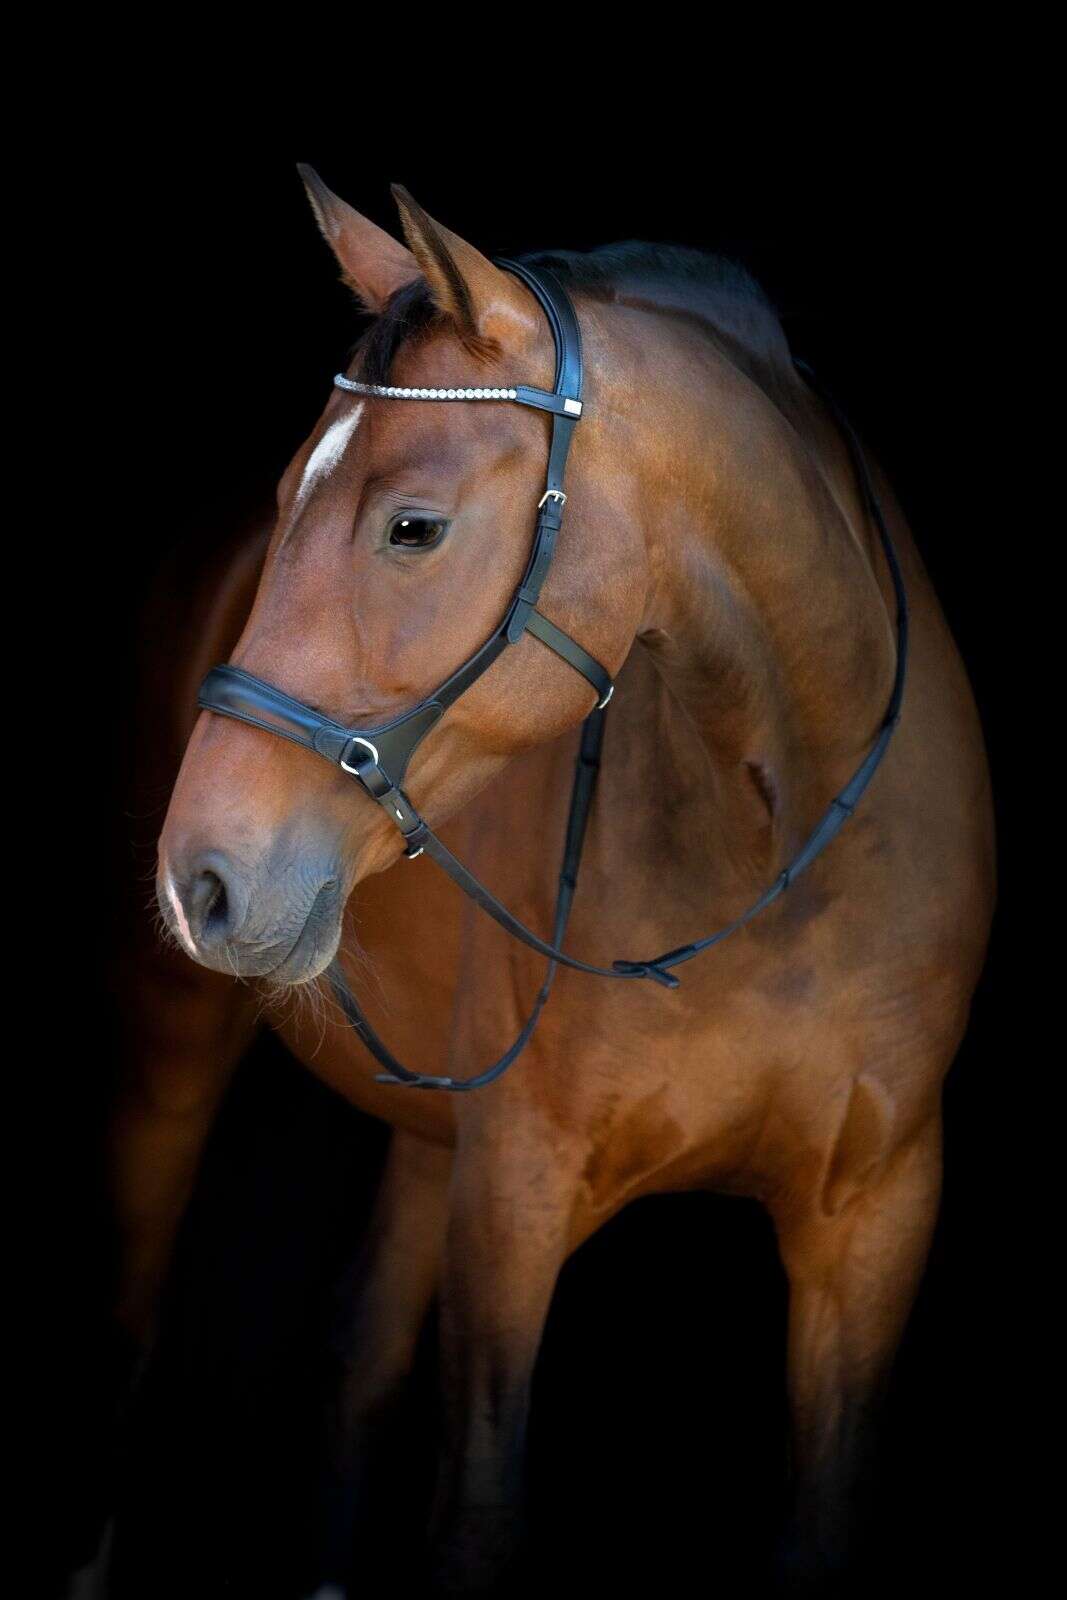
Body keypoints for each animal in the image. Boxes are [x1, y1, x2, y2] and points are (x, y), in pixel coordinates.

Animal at [103, 168, 994, 1594]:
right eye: (291, 498)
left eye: (412, 527)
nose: (205, 881)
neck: (775, 850)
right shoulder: (514, 1197)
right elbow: (476, 1513)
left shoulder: (878, 1214)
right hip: (170, 1055)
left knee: (353, 1361)